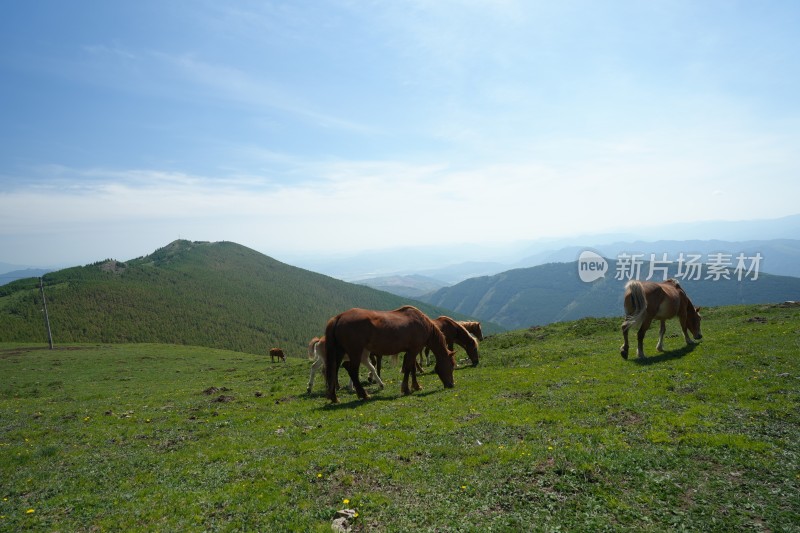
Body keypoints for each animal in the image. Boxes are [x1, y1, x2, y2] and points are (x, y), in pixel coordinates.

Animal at [322, 306, 454, 402]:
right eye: (451, 366)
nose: (451, 384)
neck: (422, 324)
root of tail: (338, 317)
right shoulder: (413, 350)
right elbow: (408, 368)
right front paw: (406, 389)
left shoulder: (411, 351)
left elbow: (412, 368)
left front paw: (416, 386)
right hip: (355, 352)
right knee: (352, 371)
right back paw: (363, 394)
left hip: (339, 352)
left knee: (334, 370)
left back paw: (334, 397)